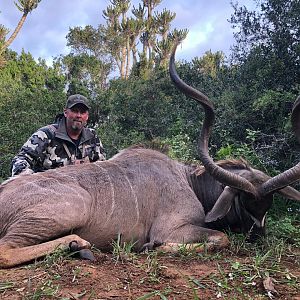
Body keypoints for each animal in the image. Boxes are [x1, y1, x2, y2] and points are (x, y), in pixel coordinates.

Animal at [1, 44, 300, 268]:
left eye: (267, 205)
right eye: (244, 203)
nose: (258, 238)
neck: (189, 180)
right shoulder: (172, 228)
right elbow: (218, 239)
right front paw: (152, 247)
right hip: (67, 211)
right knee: (5, 251)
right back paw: (79, 244)